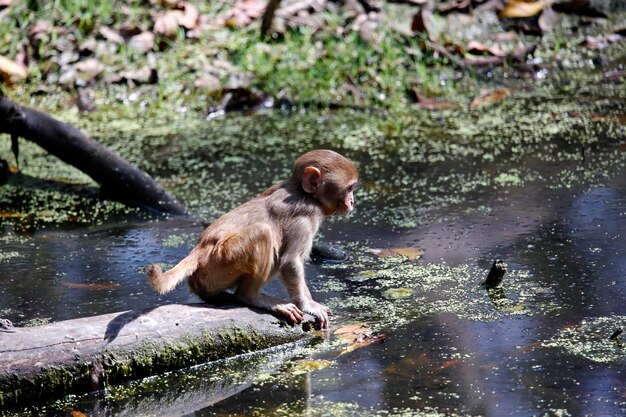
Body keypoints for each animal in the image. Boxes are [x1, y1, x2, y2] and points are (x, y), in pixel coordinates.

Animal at [147, 148, 358, 326]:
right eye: (349, 189)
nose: (352, 201)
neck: (303, 193)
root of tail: (199, 249)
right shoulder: (306, 217)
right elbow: (290, 262)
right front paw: (308, 305)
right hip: (221, 262)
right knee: (263, 233)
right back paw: (251, 297)